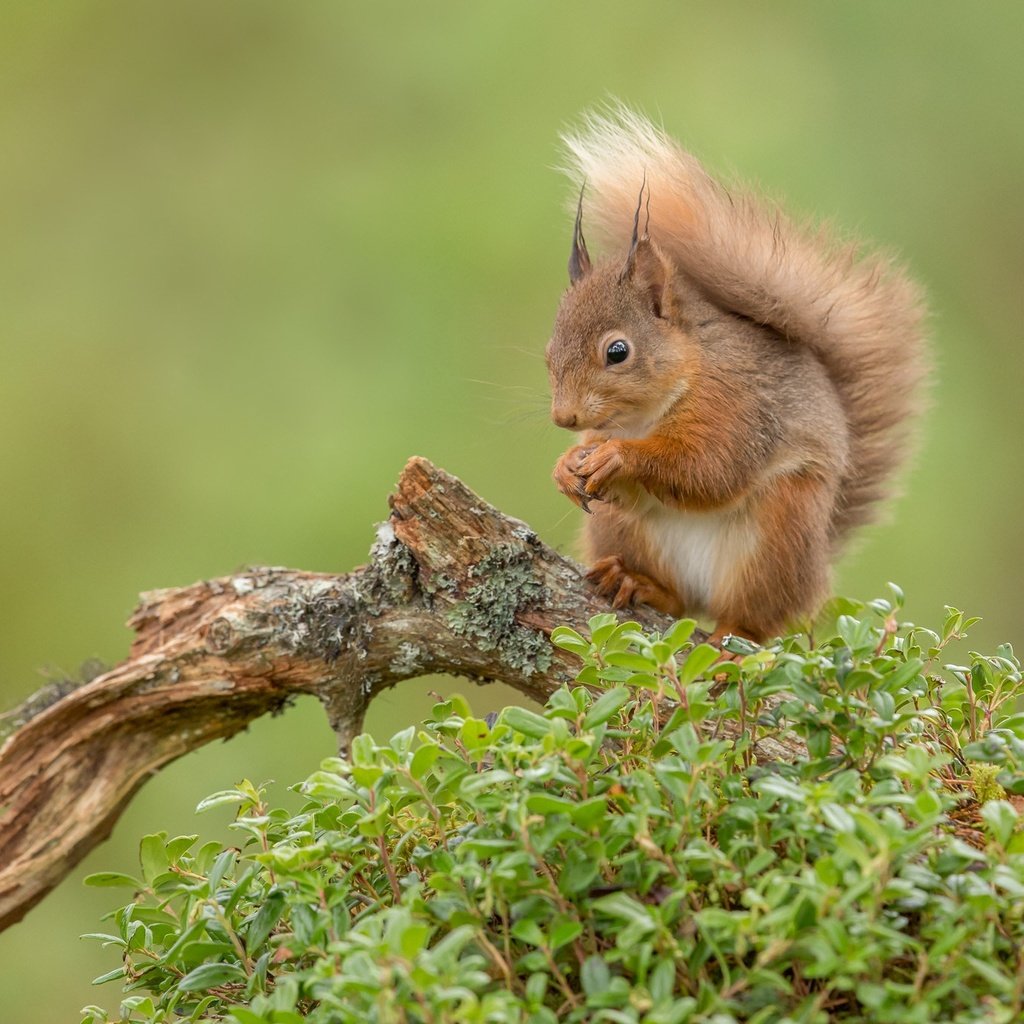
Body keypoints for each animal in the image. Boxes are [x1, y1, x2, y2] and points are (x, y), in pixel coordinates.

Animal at [548, 110, 933, 638]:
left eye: (618, 351)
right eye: (549, 348)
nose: (563, 418)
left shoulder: (737, 404)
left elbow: (709, 468)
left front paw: (618, 457)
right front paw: (568, 465)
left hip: (778, 535)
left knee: (755, 619)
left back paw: (733, 639)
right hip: (618, 529)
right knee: (676, 600)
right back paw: (635, 581)